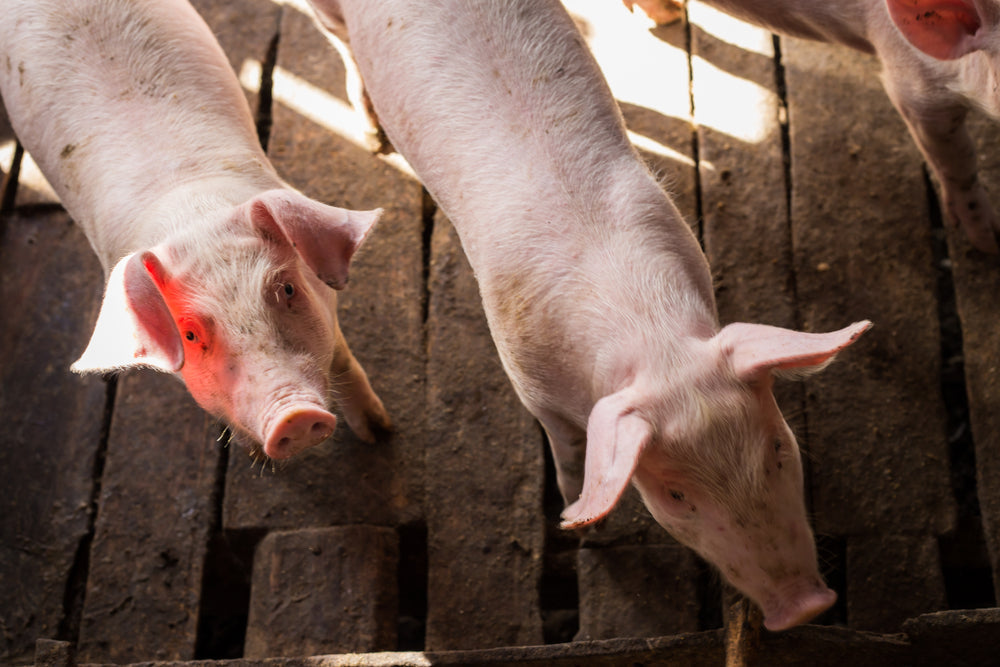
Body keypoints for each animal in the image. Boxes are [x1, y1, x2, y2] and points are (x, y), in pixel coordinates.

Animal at [0, 0, 391, 459]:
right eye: (188, 334)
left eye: (288, 289)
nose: (293, 416)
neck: (193, 214)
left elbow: (344, 360)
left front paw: (381, 433)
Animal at [308, 0, 870, 630]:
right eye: (676, 496)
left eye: (778, 447)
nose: (805, 606)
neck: (648, 334)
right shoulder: (529, 382)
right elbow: (570, 456)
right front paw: (579, 525)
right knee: (338, 42)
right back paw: (371, 133)